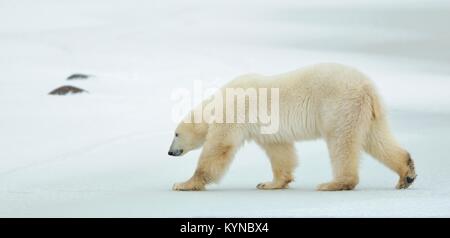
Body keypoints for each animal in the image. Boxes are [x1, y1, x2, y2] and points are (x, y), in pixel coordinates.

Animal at [167, 63, 416, 192]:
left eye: (176, 134)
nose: (170, 152)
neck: (218, 101)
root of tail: (367, 87)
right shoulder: (266, 129)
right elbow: (280, 150)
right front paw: (269, 183)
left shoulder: (235, 113)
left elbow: (218, 148)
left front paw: (183, 183)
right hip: (368, 113)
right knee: (378, 140)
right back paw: (406, 174)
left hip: (339, 106)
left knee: (341, 143)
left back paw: (333, 183)